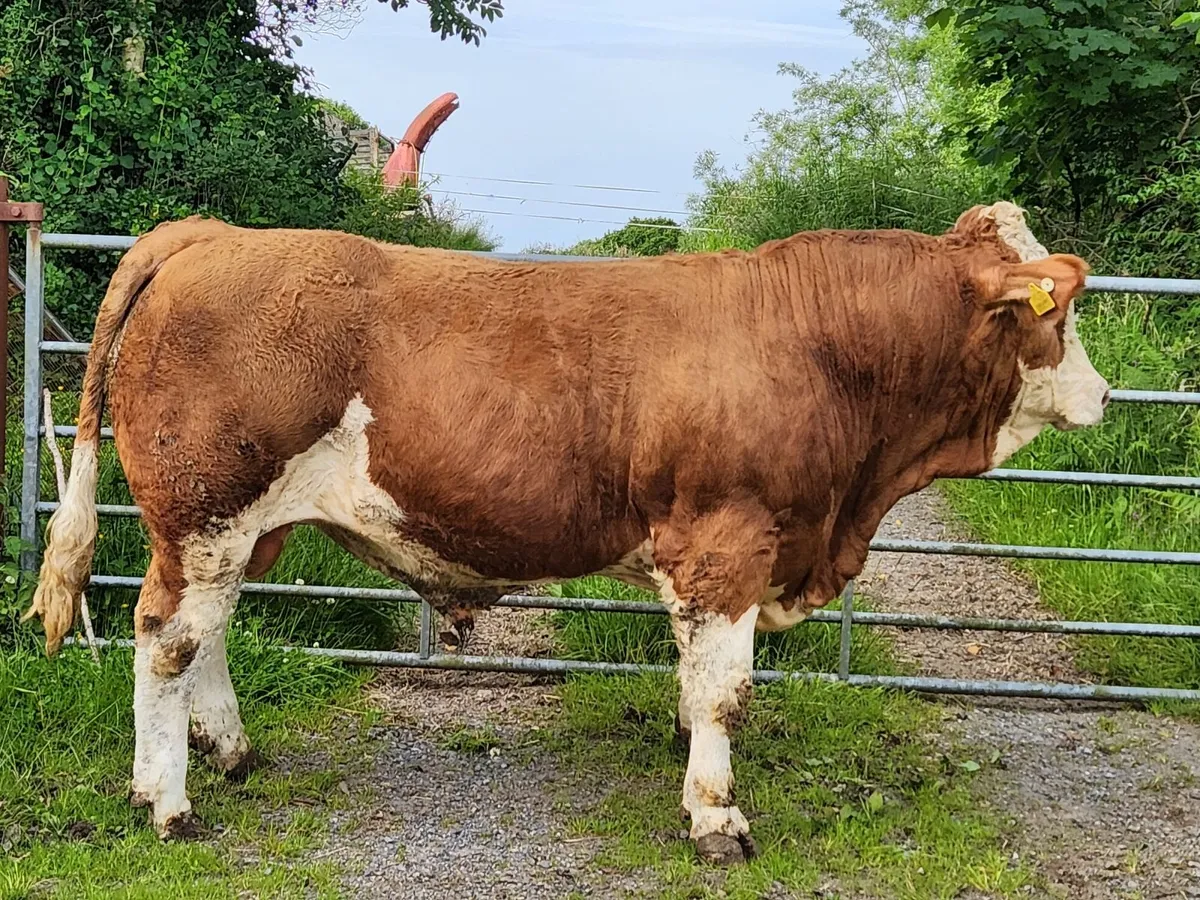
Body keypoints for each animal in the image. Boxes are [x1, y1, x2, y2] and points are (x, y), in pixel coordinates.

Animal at [25, 201, 1109, 864]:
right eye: (1058, 315)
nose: (1102, 394)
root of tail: (216, 234)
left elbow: (698, 685)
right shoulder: (726, 544)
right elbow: (726, 691)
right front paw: (716, 816)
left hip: (239, 529)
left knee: (203, 637)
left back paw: (232, 755)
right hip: (207, 510)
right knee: (165, 640)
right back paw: (168, 802)